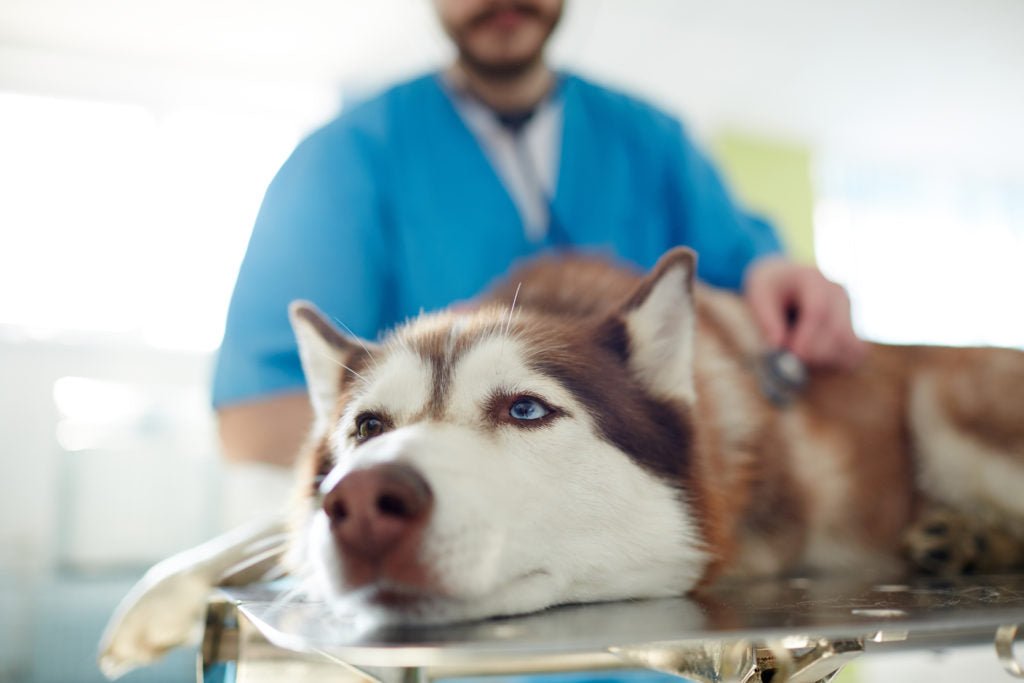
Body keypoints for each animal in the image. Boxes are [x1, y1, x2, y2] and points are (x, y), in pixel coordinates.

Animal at [99, 246, 1024, 671]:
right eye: (367, 427)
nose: (360, 504)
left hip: (948, 402)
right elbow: (260, 529)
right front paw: (158, 596)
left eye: (526, 409)